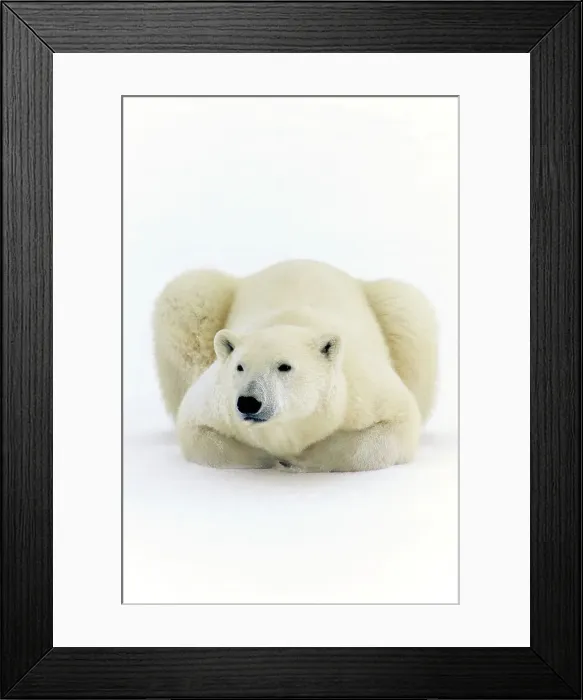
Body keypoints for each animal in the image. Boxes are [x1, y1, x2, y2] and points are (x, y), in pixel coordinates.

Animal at [153, 259, 438, 473]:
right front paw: (266, 457)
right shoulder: (216, 400)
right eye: (240, 367)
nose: (248, 402)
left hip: (396, 310)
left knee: (408, 313)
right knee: (188, 293)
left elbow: (397, 423)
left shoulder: (360, 388)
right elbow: (195, 429)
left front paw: (303, 458)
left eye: (284, 366)